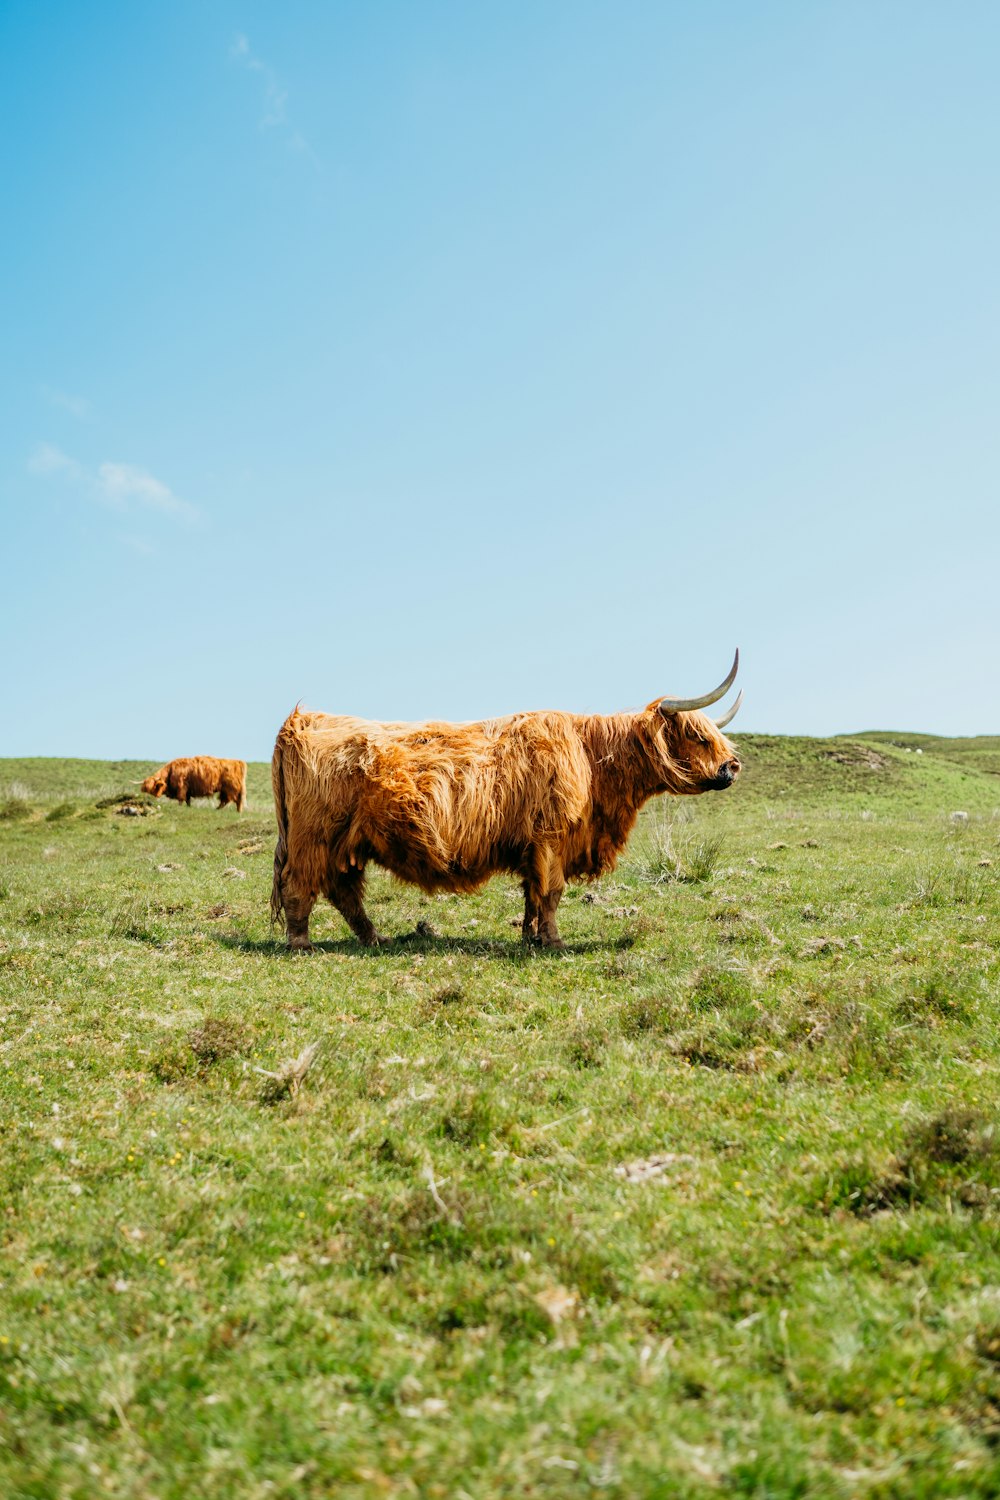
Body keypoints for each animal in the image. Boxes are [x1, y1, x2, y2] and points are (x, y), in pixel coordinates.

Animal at [268, 648, 743, 948]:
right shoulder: (552, 837)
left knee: (344, 890)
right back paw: (301, 942)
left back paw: (374, 938)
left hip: (346, 842)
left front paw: (530, 936)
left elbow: (532, 893)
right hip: (314, 837)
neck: (593, 762)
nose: (732, 767)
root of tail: (301, 719)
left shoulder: (535, 845)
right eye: (698, 736)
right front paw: (553, 941)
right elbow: (551, 891)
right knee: (300, 885)